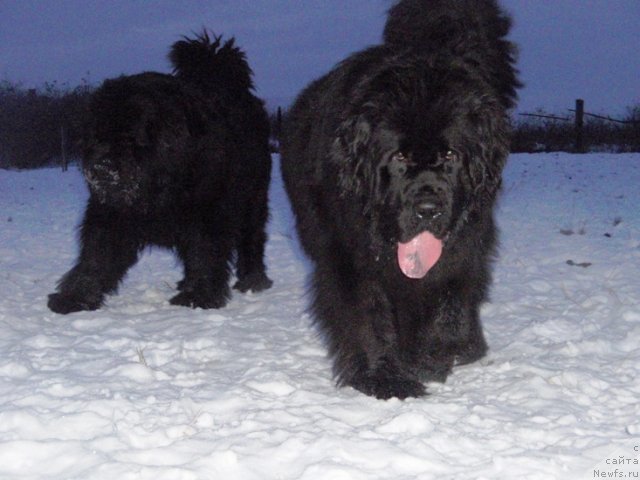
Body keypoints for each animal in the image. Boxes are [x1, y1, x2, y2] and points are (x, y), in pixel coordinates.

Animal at [48, 31, 272, 316]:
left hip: (252, 199)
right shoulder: (110, 212)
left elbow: (205, 252)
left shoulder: (207, 212)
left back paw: (253, 279)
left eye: (130, 136)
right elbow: (96, 255)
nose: (101, 166)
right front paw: (76, 296)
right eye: (96, 136)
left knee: (251, 237)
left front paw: (198, 296)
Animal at [282, 0, 516, 398]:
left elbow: (450, 298)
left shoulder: (466, 244)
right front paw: (384, 376)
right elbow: (368, 313)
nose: (428, 209)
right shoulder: (349, 253)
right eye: (399, 157)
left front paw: (435, 356)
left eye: (451, 155)